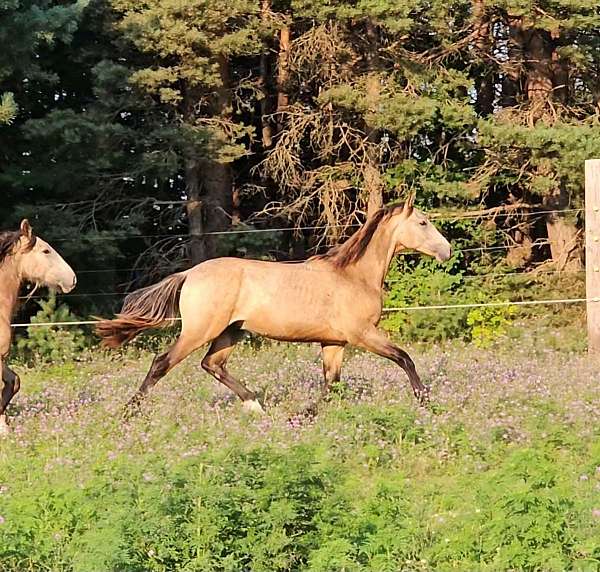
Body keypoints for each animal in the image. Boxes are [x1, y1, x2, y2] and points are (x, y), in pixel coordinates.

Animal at [95, 197, 450, 412]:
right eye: (423, 223)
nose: (447, 250)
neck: (353, 275)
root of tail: (189, 274)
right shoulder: (362, 334)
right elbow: (404, 358)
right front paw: (426, 401)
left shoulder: (334, 343)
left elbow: (331, 384)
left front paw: (306, 415)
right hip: (199, 331)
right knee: (161, 363)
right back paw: (129, 414)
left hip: (230, 332)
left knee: (212, 365)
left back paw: (255, 406)